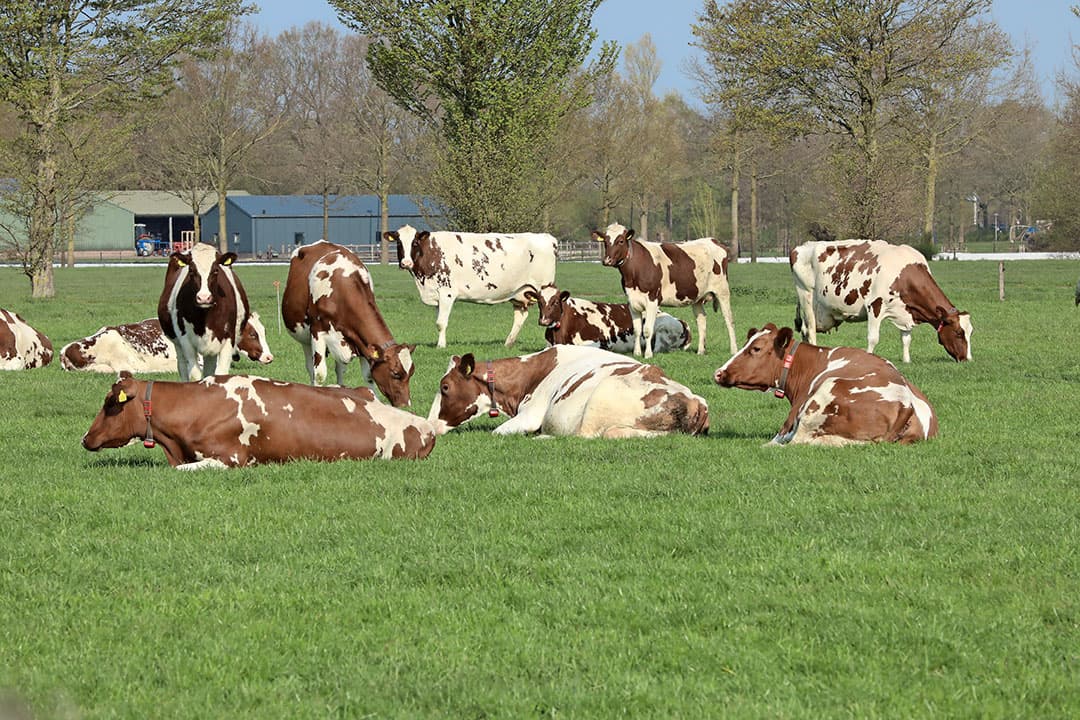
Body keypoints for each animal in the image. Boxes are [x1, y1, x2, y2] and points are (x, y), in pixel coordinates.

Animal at [157, 242, 273, 381]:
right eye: (191, 271)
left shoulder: (228, 339)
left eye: (216, 270)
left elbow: (220, 373)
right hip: (177, 343)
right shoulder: (185, 341)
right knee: (182, 367)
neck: (205, 318)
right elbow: (194, 375)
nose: (204, 298)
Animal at [282, 240, 415, 407]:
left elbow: (368, 377)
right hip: (304, 338)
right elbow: (319, 375)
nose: (406, 405)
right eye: (395, 373)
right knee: (311, 369)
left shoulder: (362, 342)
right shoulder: (317, 332)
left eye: (411, 373)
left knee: (340, 370)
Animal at [386, 224, 558, 348]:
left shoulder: (447, 293)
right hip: (519, 292)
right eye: (399, 242)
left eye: (414, 243)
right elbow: (439, 321)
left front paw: (441, 346)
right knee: (520, 316)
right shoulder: (437, 294)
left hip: (544, 289)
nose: (406, 263)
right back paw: (508, 343)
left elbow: (441, 323)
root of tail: (547, 237)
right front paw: (441, 343)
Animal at [591, 223, 738, 360]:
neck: (633, 273)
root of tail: (714, 240)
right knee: (701, 320)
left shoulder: (652, 300)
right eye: (605, 241)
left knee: (729, 319)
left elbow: (647, 330)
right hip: (697, 297)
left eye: (621, 241)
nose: (607, 260)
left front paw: (648, 354)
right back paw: (701, 351)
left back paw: (734, 350)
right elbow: (637, 330)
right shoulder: (632, 302)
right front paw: (637, 353)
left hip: (722, 291)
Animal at [790, 239, 972, 363]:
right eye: (958, 332)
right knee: (811, 330)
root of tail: (801, 246)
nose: (967, 359)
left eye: (971, 332)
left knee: (805, 330)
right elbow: (873, 338)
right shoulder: (875, 305)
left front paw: (907, 360)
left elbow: (906, 339)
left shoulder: (905, 311)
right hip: (805, 294)